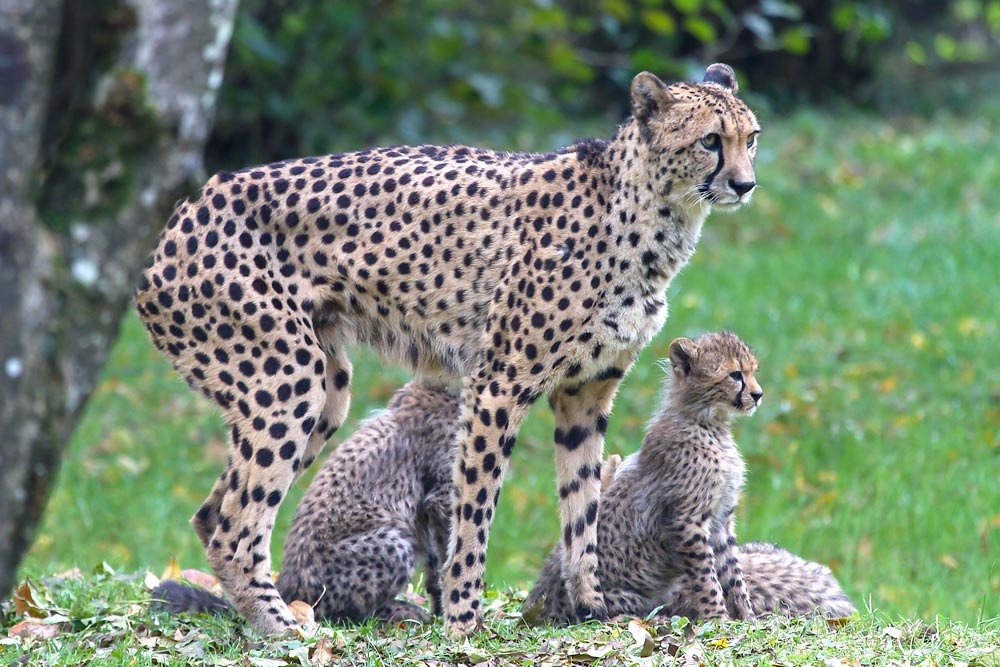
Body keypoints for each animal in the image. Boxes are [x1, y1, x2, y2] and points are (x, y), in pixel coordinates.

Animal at [133, 64, 756, 636]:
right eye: (710, 141)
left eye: (750, 138)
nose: (746, 186)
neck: (648, 211)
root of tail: (188, 208)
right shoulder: (498, 385)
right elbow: (474, 514)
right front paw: (461, 621)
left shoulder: (586, 393)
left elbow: (583, 509)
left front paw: (590, 610)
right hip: (288, 377)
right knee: (237, 525)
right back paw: (280, 627)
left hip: (325, 388)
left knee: (212, 513)